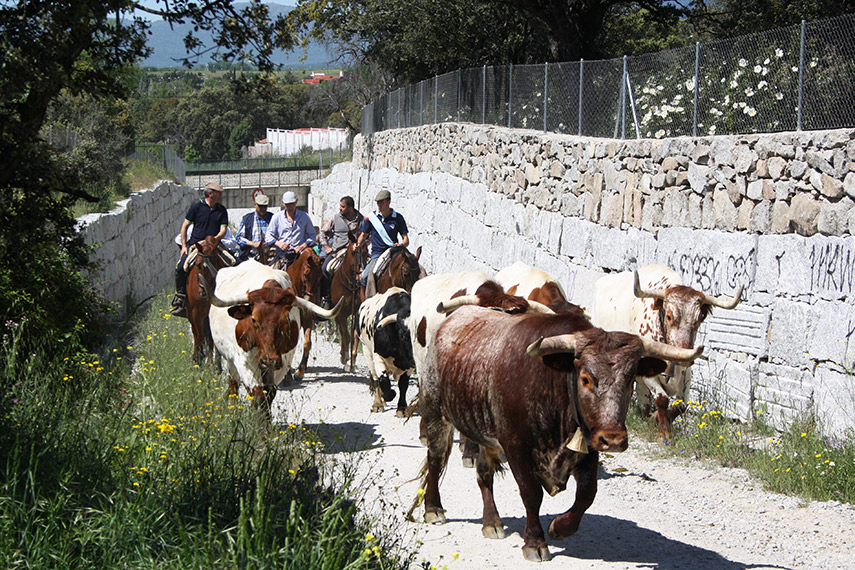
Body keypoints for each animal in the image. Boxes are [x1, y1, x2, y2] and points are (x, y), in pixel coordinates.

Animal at [186, 235, 229, 364]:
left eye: (215, 262)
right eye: (197, 264)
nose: (203, 291)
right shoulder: (196, 313)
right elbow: (199, 336)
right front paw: (198, 359)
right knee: (196, 334)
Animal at [286, 246, 322, 380]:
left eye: (320, 277)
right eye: (306, 273)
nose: (309, 300)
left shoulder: (307, 319)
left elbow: (307, 343)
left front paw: (299, 372)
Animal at [328, 233, 368, 370]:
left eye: (366, 252)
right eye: (353, 252)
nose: (360, 276)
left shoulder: (357, 312)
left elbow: (355, 335)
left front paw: (352, 362)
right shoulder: (341, 312)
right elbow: (346, 334)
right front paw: (346, 357)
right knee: (342, 331)